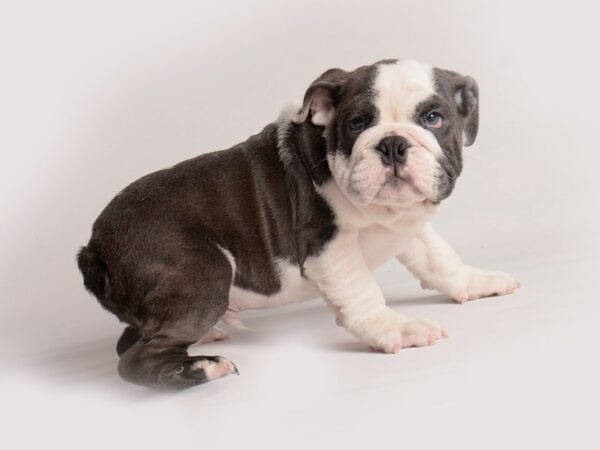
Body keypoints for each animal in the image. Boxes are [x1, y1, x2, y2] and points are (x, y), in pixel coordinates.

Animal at [78, 59, 520, 388]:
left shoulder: (406, 223)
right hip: (203, 271)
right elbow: (362, 292)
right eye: (357, 123)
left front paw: (475, 282)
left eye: (433, 118)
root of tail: (94, 247)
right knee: (133, 357)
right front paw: (396, 328)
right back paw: (201, 367)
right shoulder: (327, 246)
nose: (393, 143)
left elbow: (438, 257)